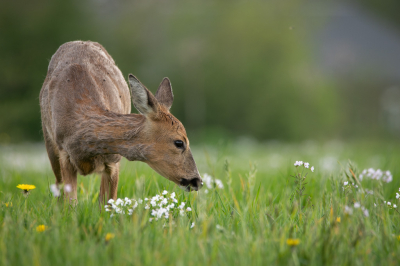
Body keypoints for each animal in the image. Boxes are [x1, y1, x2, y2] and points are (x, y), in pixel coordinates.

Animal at [39, 40, 203, 205]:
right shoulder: (64, 153)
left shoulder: (113, 161)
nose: (197, 181)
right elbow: (70, 204)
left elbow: (108, 204)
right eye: (179, 142)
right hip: (50, 146)